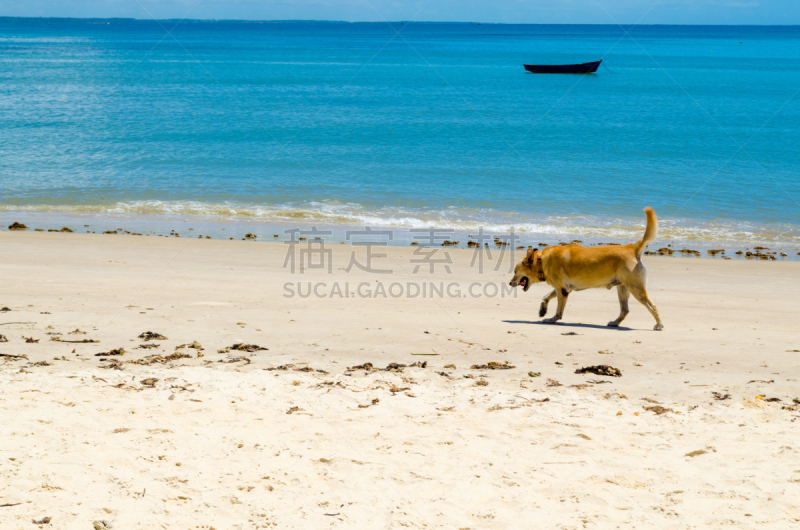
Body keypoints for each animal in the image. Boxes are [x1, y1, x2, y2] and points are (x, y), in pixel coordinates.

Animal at [512, 207, 664, 328]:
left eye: (515, 271)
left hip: (636, 288)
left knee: (653, 306)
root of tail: (632, 248)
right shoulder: (563, 289)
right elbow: (545, 297)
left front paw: (552, 319)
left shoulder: (562, 291)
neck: (541, 261)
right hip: (623, 288)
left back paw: (659, 324)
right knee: (625, 310)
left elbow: (558, 311)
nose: (510, 283)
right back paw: (615, 322)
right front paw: (543, 310)